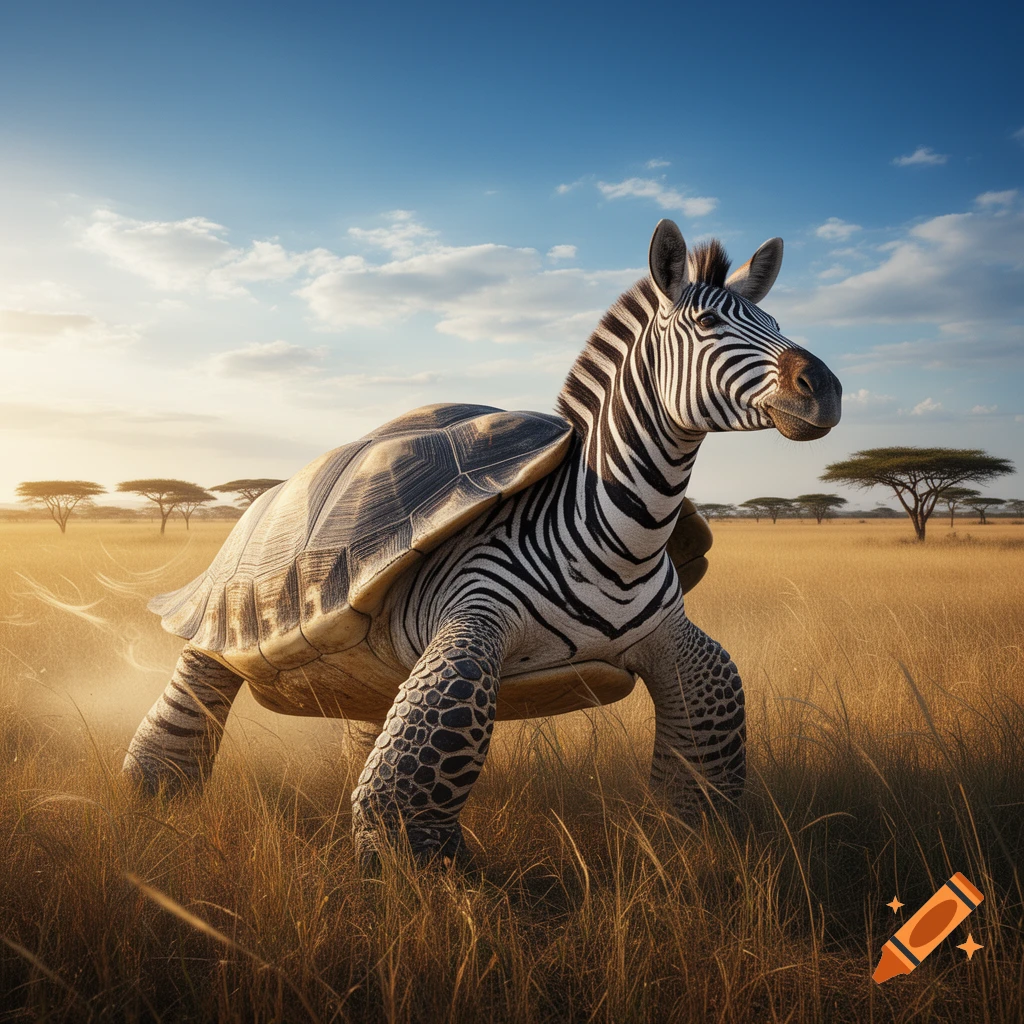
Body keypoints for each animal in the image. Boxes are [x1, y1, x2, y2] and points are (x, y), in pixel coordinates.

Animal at [123, 219, 841, 866]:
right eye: (707, 324)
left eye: (775, 322)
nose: (827, 388)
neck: (617, 541)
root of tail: (259, 504)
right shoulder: (472, 609)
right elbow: (417, 768)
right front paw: (428, 879)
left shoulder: (671, 637)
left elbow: (708, 744)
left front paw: (689, 851)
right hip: (223, 608)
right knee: (195, 689)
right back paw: (153, 802)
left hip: (366, 673)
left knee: (368, 717)